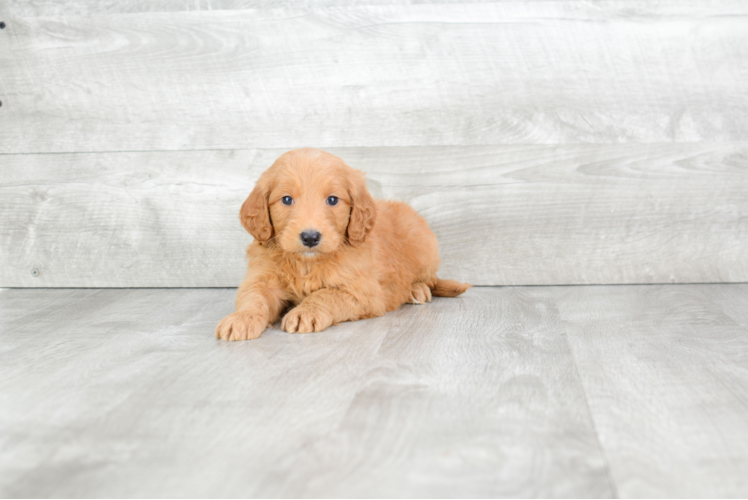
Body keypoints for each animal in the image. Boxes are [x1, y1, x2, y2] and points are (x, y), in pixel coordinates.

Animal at [215, 147, 468, 340]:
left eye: (332, 200)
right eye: (286, 199)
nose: (310, 237)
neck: (306, 264)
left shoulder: (362, 292)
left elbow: (326, 294)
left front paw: (305, 311)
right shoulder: (261, 279)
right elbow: (253, 298)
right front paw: (241, 319)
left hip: (425, 247)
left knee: (429, 279)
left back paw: (416, 289)